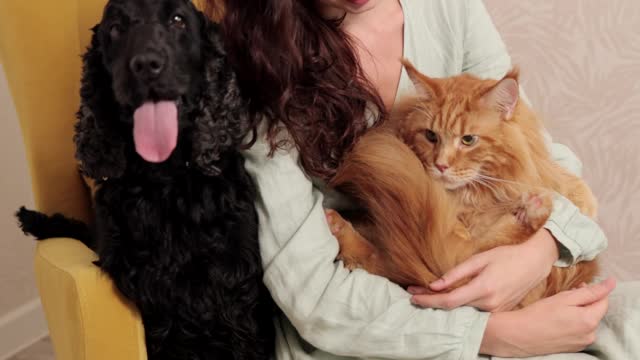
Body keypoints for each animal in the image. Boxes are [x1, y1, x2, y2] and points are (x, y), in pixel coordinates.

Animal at [16, 1, 274, 358]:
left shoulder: (236, 287)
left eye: (178, 20)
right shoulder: (150, 296)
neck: (166, 179)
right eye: (115, 28)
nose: (146, 65)